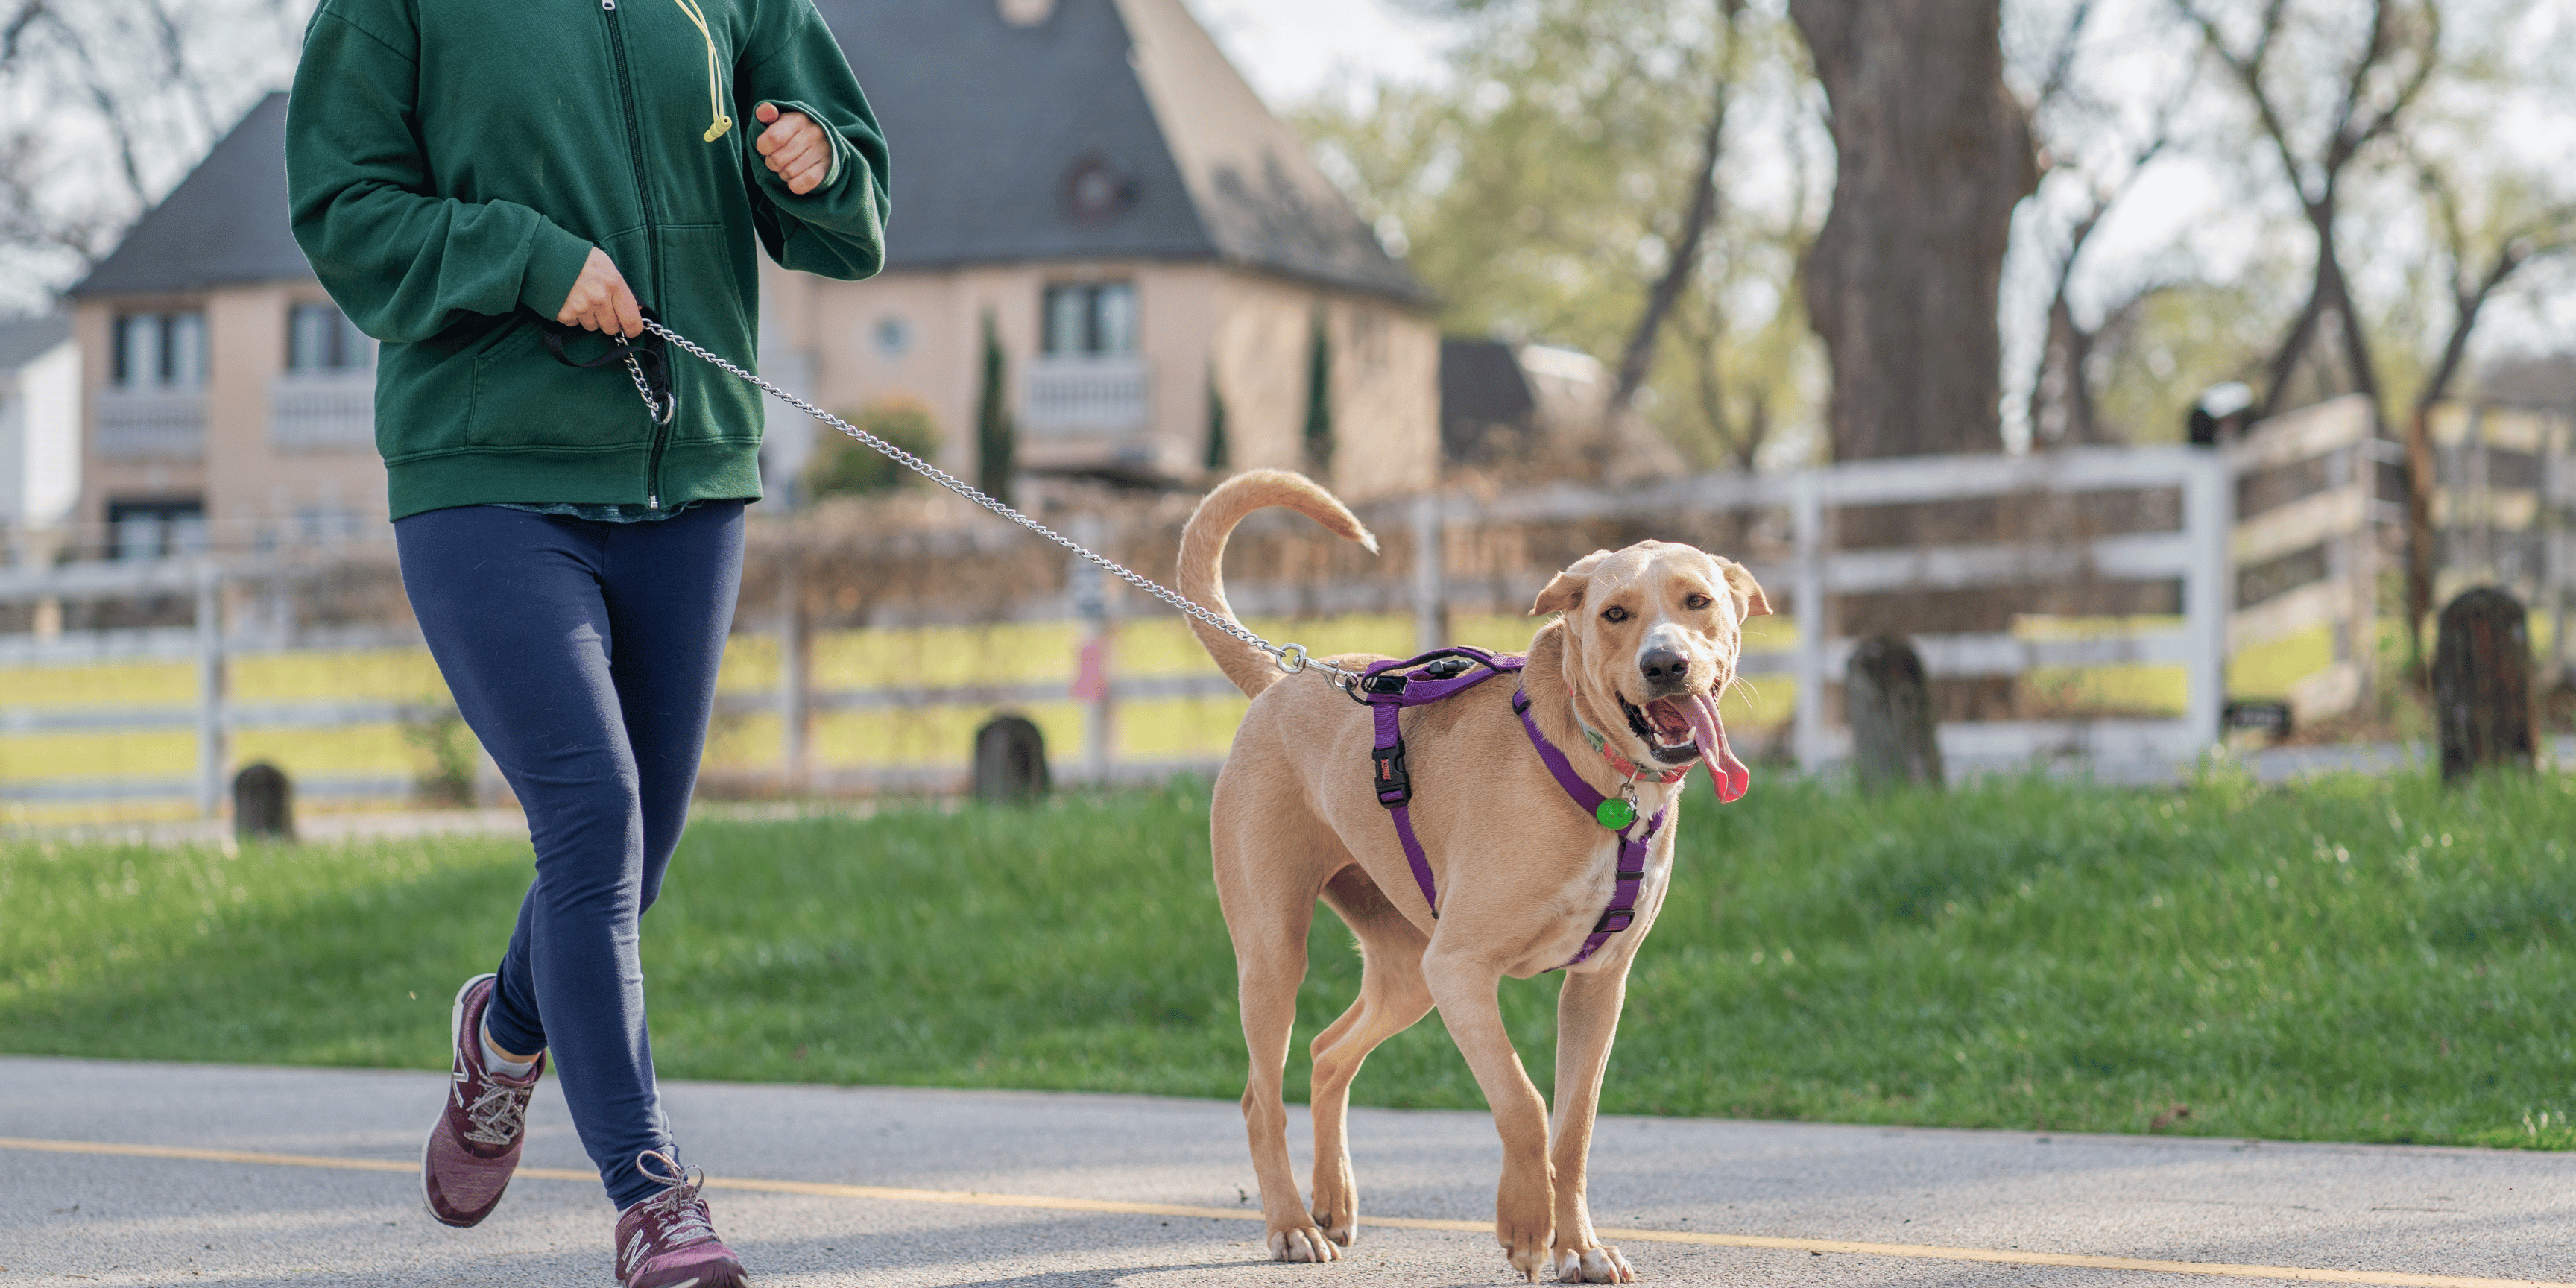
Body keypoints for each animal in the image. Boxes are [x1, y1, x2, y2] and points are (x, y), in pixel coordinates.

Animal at [1179, 468, 1772, 1283]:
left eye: (1697, 601)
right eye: (1615, 613)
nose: (1665, 665)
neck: (1599, 772)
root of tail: (1282, 678)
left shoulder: (1597, 987)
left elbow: (1574, 1127)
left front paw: (1579, 1246)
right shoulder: (1463, 969)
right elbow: (1523, 1102)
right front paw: (1526, 1227)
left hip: (1407, 973)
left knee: (1328, 1054)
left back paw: (1333, 1199)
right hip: (1279, 956)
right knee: (1258, 1098)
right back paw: (1292, 1225)